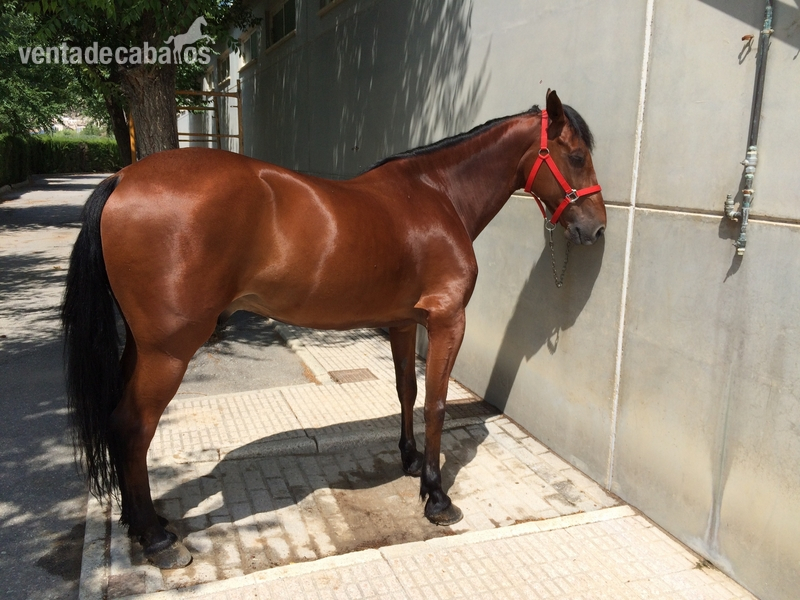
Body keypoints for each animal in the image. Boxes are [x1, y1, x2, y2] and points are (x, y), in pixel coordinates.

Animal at [61, 90, 605, 569]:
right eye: (577, 156)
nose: (596, 228)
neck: (437, 195)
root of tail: (123, 178)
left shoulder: (404, 322)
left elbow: (406, 391)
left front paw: (410, 462)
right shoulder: (448, 320)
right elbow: (435, 403)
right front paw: (436, 496)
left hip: (141, 346)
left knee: (119, 422)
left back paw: (141, 523)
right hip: (168, 352)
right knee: (133, 426)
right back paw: (156, 540)